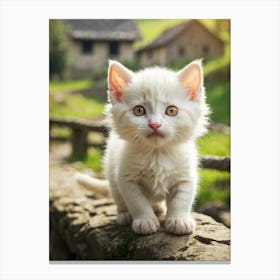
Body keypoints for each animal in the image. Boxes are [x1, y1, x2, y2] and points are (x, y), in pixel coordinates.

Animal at [75, 60, 209, 235]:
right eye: (139, 110)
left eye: (172, 110)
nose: (155, 124)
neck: (156, 154)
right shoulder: (127, 178)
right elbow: (137, 202)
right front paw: (145, 221)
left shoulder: (185, 176)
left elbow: (182, 200)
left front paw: (179, 220)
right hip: (112, 177)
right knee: (119, 199)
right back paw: (124, 215)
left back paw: (159, 207)